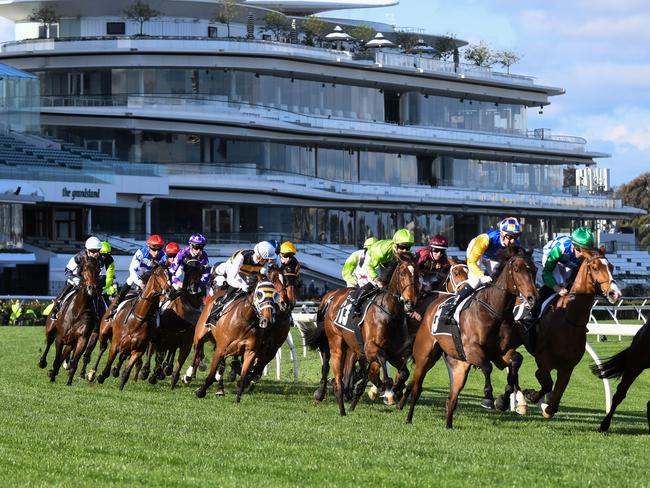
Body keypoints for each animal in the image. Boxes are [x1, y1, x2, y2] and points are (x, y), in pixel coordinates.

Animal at [38, 255, 100, 386]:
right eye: (85, 269)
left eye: (98, 270)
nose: (92, 288)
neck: (78, 310)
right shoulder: (60, 337)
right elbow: (57, 359)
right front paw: (52, 377)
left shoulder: (82, 338)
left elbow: (74, 362)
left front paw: (69, 382)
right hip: (51, 328)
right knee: (49, 342)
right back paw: (42, 362)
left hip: (71, 341)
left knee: (66, 352)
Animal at [192, 268, 284, 402]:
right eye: (259, 294)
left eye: (274, 295)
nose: (267, 320)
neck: (245, 318)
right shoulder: (220, 349)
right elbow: (211, 374)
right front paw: (201, 391)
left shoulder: (251, 351)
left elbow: (243, 375)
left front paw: (238, 396)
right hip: (200, 334)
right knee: (197, 350)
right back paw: (187, 376)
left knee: (222, 366)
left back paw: (220, 388)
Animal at [306, 254, 420, 418]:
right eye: (402, 273)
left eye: (417, 274)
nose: (410, 302)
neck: (389, 313)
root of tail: (333, 296)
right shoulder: (371, 348)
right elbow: (381, 370)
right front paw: (387, 392)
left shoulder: (395, 353)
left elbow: (403, 373)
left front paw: (394, 391)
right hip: (335, 343)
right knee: (332, 370)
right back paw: (336, 403)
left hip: (351, 348)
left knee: (346, 375)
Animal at [402, 248, 536, 428]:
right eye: (517, 270)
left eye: (534, 269)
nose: (532, 298)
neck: (494, 312)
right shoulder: (472, 350)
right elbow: (487, 367)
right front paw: (488, 398)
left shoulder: (499, 353)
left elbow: (515, 361)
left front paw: (504, 399)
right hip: (425, 356)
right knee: (416, 387)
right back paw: (408, 418)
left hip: (459, 366)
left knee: (451, 399)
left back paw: (449, 425)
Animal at [520, 250, 620, 418]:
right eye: (595, 268)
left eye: (611, 267)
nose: (615, 293)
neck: (568, 318)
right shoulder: (542, 357)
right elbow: (546, 382)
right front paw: (530, 394)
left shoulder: (567, 366)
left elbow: (553, 404)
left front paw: (542, 403)